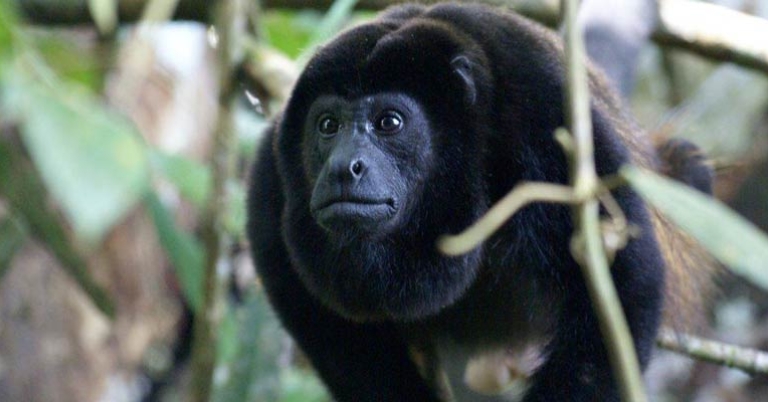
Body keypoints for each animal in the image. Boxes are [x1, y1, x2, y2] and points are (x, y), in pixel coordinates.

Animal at [246, 3, 714, 401]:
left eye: (389, 122)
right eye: (327, 125)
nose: (344, 167)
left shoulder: (544, 115)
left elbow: (625, 283)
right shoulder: (269, 181)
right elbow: (324, 324)